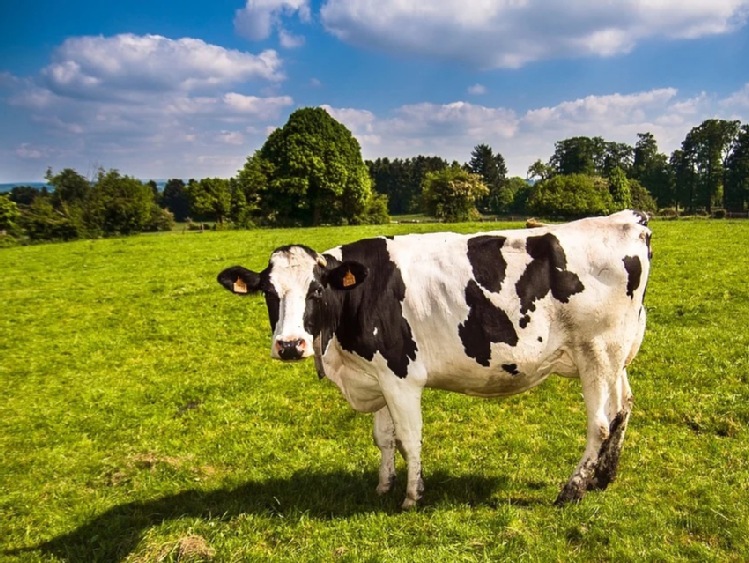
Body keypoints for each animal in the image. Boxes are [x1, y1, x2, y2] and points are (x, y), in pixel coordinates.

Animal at [215, 210, 648, 506]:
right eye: (269, 293)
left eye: (317, 290)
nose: (290, 345)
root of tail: (627, 220)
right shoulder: (376, 375)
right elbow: (383, 437)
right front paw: (384, 485)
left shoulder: (400, 375)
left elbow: (409, 437)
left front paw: (412, 495)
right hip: (616, 355)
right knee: (623, 407)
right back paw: (604, 476)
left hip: (597, 352)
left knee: (600, 424)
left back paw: (573, 489)